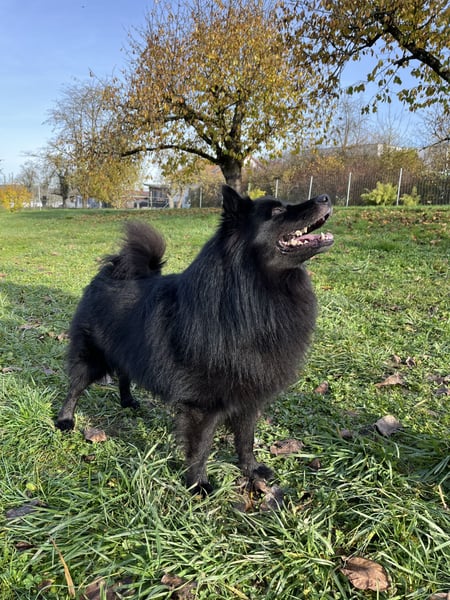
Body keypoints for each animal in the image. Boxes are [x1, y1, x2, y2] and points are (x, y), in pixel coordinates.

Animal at [56, 185, 333, 493]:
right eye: (277, 211)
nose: (325, 197)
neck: (248, 295)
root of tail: (110, 273)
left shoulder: (250, 395)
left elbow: (245, 440)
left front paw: (251, 470)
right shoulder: (204, 404)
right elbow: (201, 447)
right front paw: (198, 484)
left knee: (125, 373)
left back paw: (128, 401)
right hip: (92, 355)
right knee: (75, 387)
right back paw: (65, 419)